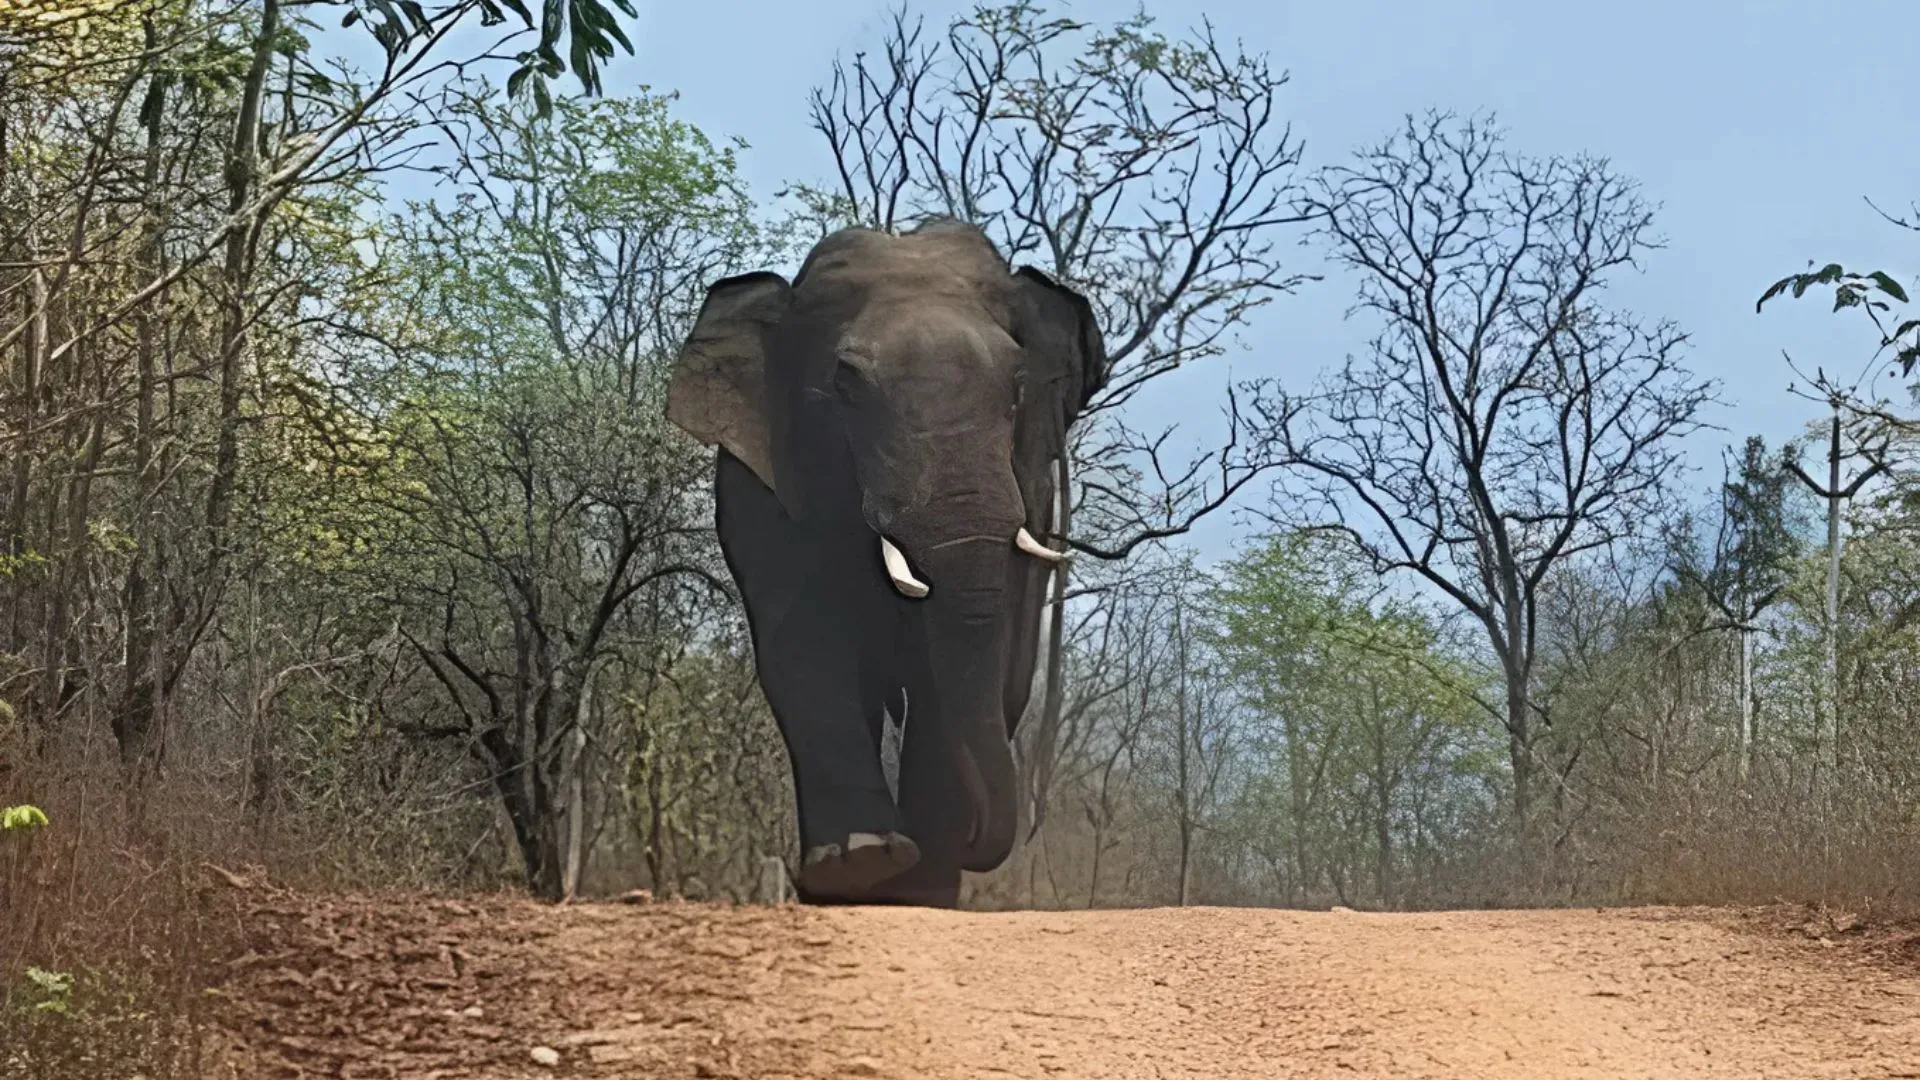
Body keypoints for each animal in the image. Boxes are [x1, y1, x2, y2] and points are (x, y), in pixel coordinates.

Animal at [664, 216, 1105, 899]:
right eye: (843, 384)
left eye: (1019, 385)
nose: (977, 839)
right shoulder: (765, 491)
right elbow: (805, 638)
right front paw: (863, 860)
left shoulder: (1030, 489)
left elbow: (962, 664)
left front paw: (922, 873)